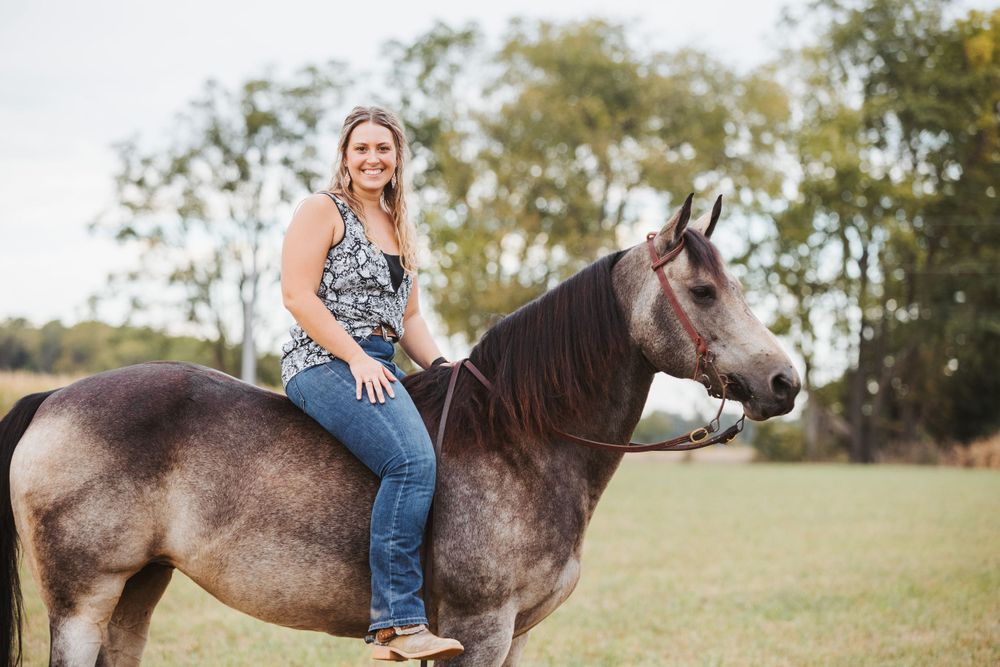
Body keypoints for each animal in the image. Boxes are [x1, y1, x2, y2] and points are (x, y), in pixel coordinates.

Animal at [0, 195, 799, 666]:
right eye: (703, 291)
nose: (784, 382)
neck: (521, 440)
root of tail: (56, 396)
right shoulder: (479, 627)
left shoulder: (515, 633)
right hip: (82, 598)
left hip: (137, 588)